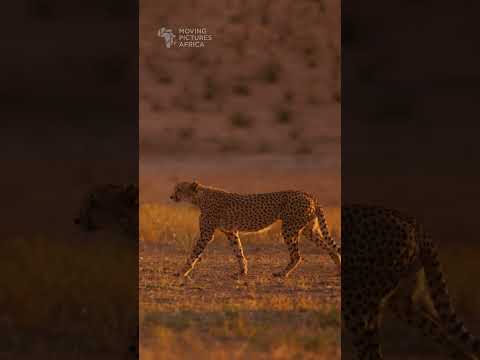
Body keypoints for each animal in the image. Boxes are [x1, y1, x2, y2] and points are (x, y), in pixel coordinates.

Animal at [169, 181, 342, 280]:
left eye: (178, 189)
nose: (171, 197)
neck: (200, 197)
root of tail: (308, 194)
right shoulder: (231, 232)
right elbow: (238, 252)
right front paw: (242, 272)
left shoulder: (206, 234)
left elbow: (193, 254)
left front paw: (181, 272)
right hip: (308, 230)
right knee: (330, 248)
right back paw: (338, 268)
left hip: (289, 228)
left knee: (297, 255)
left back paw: (282, 273)